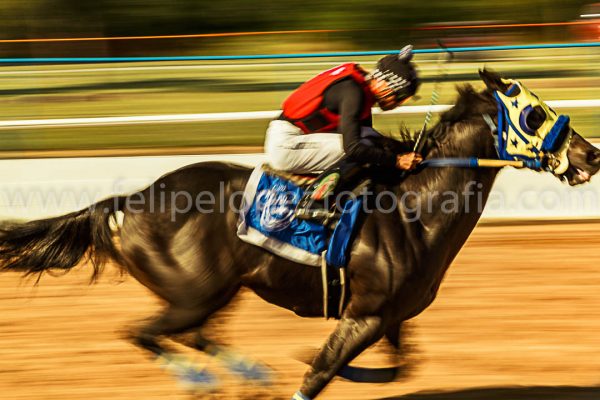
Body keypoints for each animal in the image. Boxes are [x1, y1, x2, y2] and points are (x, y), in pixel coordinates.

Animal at [1, 70, 600, 398]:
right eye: (532, 113)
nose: (590, 154)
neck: (411, 209)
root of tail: (128, 202)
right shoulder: (365, 314)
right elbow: (319, 373)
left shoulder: (389, 317)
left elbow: (399, 367)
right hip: (193, 294)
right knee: (146, 333)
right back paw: (204, 380)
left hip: (216, 292)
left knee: (192, 335)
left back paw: (245, 372)